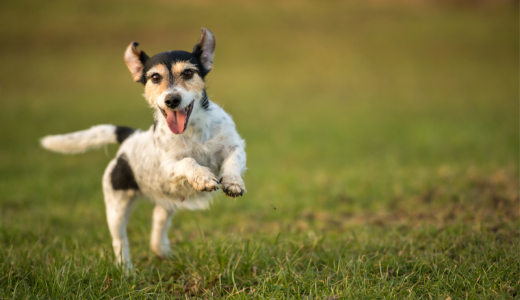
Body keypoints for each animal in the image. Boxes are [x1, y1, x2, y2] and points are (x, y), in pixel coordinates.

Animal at [39, 27, 247, 268]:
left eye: (188, 73)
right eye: (155, 77)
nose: (172, 100)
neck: (193, 132)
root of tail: (130, 138)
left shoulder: (235, 146)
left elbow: (232, 162)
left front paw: (233, 183)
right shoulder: (168, 168)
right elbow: (188, 161)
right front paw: (203, 178)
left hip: (167, 202)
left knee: (158, 219)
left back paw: (162, 251)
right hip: (116, 209)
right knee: (120, 241)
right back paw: (126, 269)